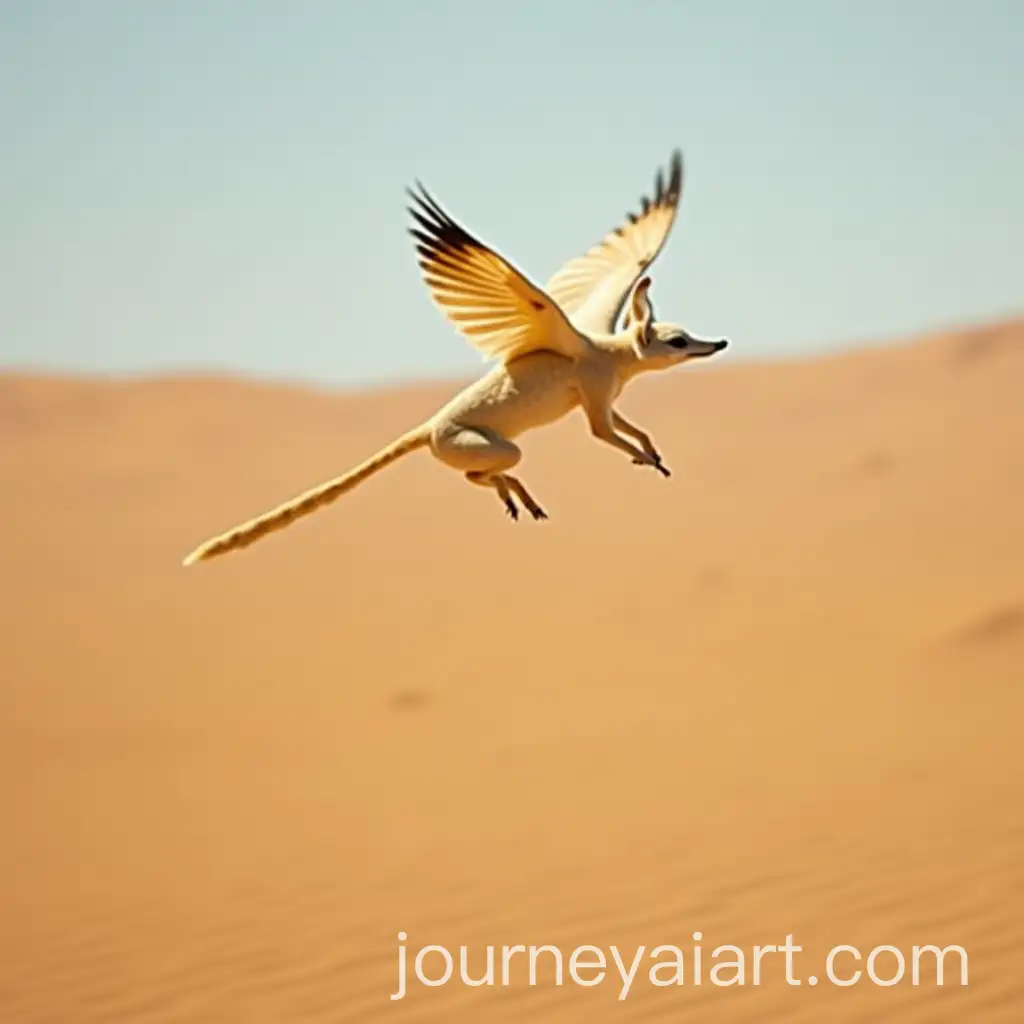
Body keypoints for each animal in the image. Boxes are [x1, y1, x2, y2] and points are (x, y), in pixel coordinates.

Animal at [182, 149, 728, 566]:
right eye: (678, 342)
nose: (717, 345)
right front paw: (644, 459)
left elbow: (628, 424)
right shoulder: (593, 398)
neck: (608, 353)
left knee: (479, 475)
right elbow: (604, 434)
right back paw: (515, 491)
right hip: (482, 444)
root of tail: (428, 429)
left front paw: (650, 450)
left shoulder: (603, 395)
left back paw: (518, 497)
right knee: (481, 471)